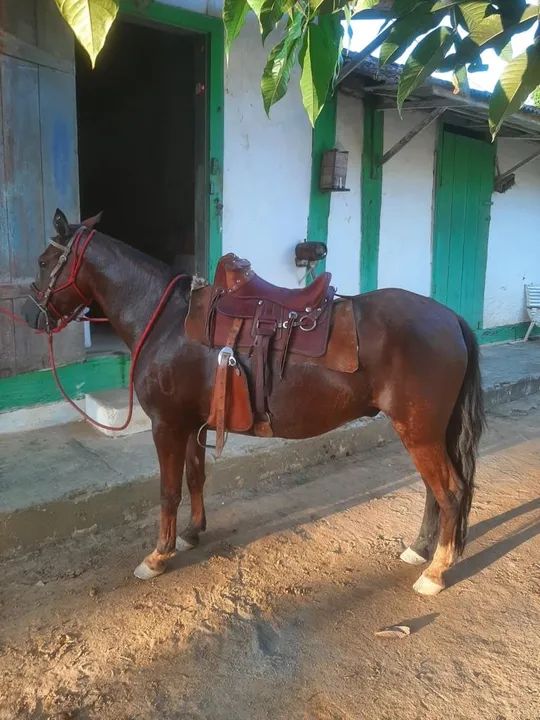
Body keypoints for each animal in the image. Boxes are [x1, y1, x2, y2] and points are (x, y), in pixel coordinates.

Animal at [23, 209, 485, 596]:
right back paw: (419, 550)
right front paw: (192, 533)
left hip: (419, 431)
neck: (167, 321)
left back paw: (435, 571)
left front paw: (157, 557)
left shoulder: (167, 425)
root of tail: (450, 318)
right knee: (434, 491)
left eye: (45, 261)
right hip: (426, 431)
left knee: (450, 491)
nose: (31, 316)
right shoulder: (192, 423)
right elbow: (195, 478)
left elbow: (168, 490)